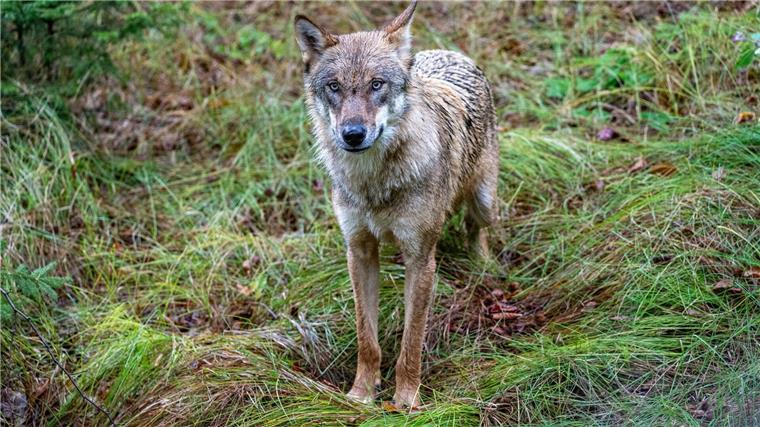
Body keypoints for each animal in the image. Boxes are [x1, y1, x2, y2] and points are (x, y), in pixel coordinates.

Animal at [294, 1, 498, 409]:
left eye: (377, 84)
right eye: (334, 87)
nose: (353, 134)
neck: (374, 183)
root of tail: (450, 53)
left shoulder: (420, 259)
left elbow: (411, 342)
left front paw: (405, 402)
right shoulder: (358, 251)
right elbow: (366, 338)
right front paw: (361, 394)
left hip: (484, 200)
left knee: (476, 227)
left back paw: (483, 264)